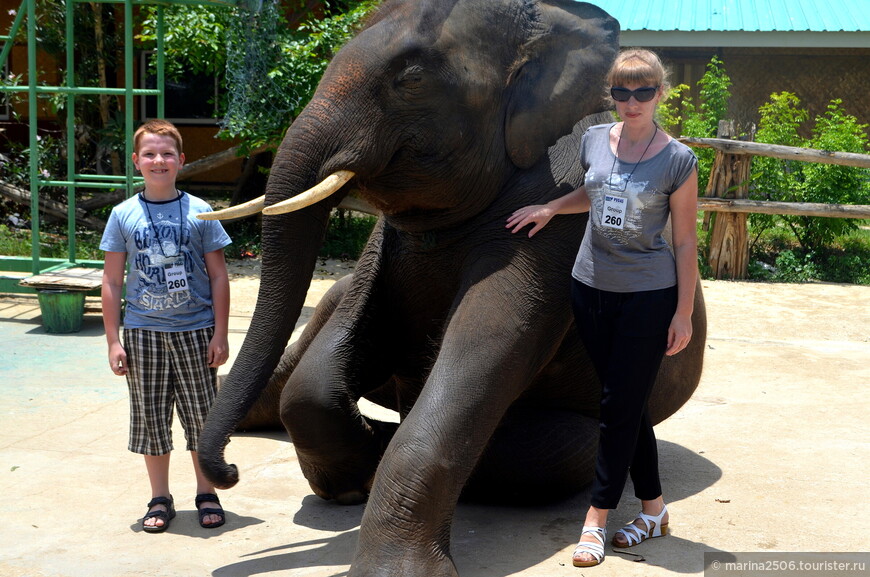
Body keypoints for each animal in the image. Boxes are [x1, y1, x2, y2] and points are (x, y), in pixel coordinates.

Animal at [199, 2, 708, 572]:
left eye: (412, 79)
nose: (229, 473)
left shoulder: (558, 212)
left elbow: (488, 342)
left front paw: (390, 564)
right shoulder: (385, 248)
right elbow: (336, 354)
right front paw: (347, 485)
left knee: (545, 454)